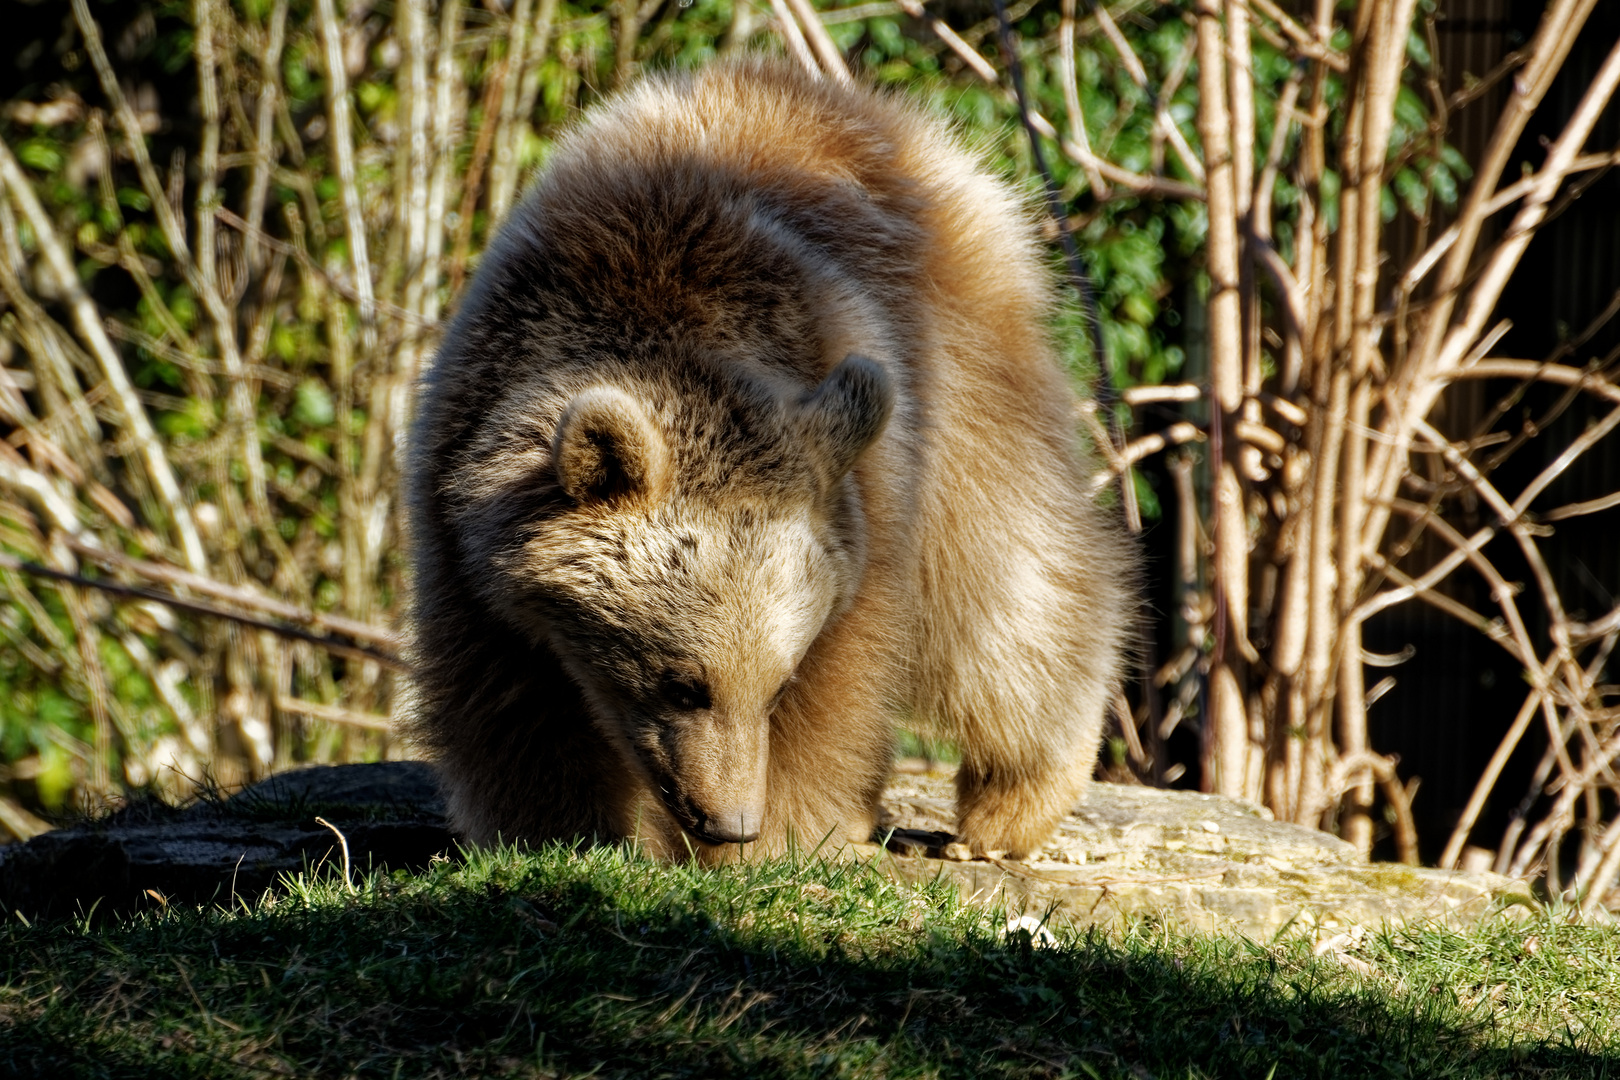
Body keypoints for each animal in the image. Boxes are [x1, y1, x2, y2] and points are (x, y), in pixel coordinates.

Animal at [405, 59, 1134, 867]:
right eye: (683, 684)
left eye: (777, 684)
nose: (728, 819)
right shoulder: (465, 523)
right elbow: (511, 702)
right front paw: (557, 829)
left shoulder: (858, 506)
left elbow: (840, 691)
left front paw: (783, 836)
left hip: (963, 369)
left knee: (1010, 588)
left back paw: (1010, 806)